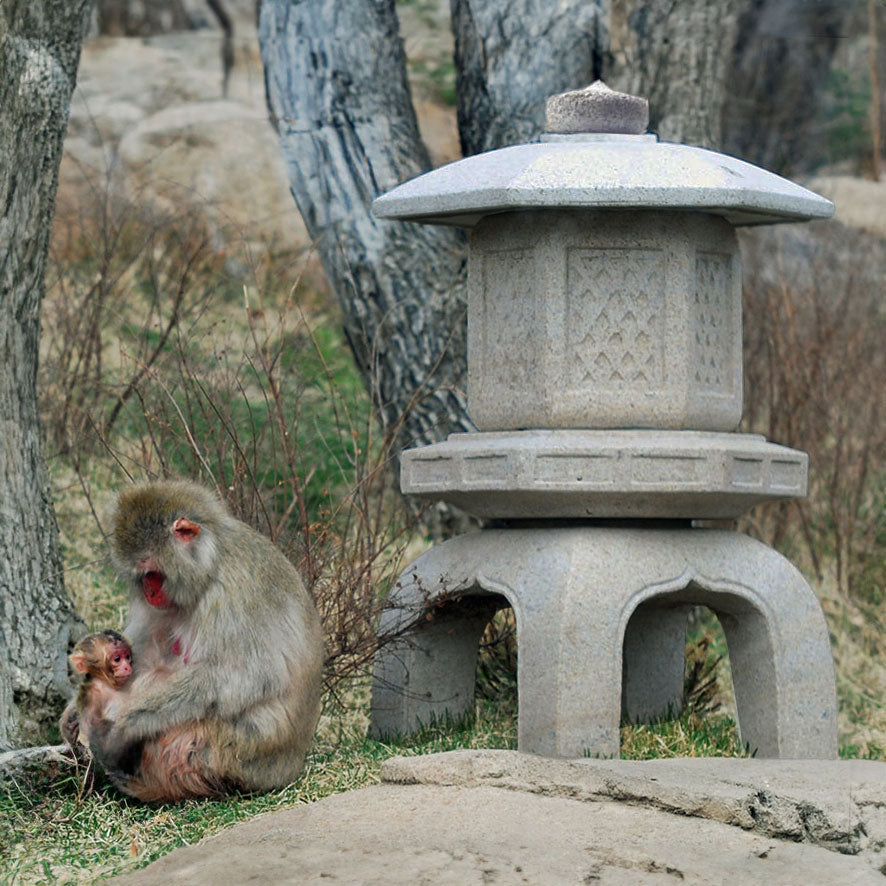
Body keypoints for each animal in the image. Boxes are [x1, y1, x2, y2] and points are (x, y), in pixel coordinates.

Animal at [84, 479, 325, 803]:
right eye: (141, 576)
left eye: (152, 572)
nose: (148, 591)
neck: (212, 565)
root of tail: (289, 767)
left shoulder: (233, 594)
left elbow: (248, 676)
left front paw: (126, 724)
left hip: (230, 753)